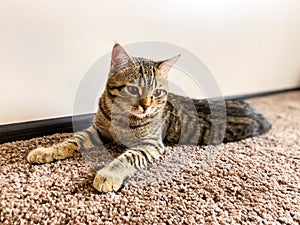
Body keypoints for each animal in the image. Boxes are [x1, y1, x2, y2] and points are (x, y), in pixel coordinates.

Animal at [27, 43, 272, 192]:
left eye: (157, 93)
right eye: (133, 90)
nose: (145, 106)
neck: (121, 117)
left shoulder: (150, 144)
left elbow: (128, 157)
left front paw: (108, 175)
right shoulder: (96, 129)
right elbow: (71, 140)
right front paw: (47, 150)